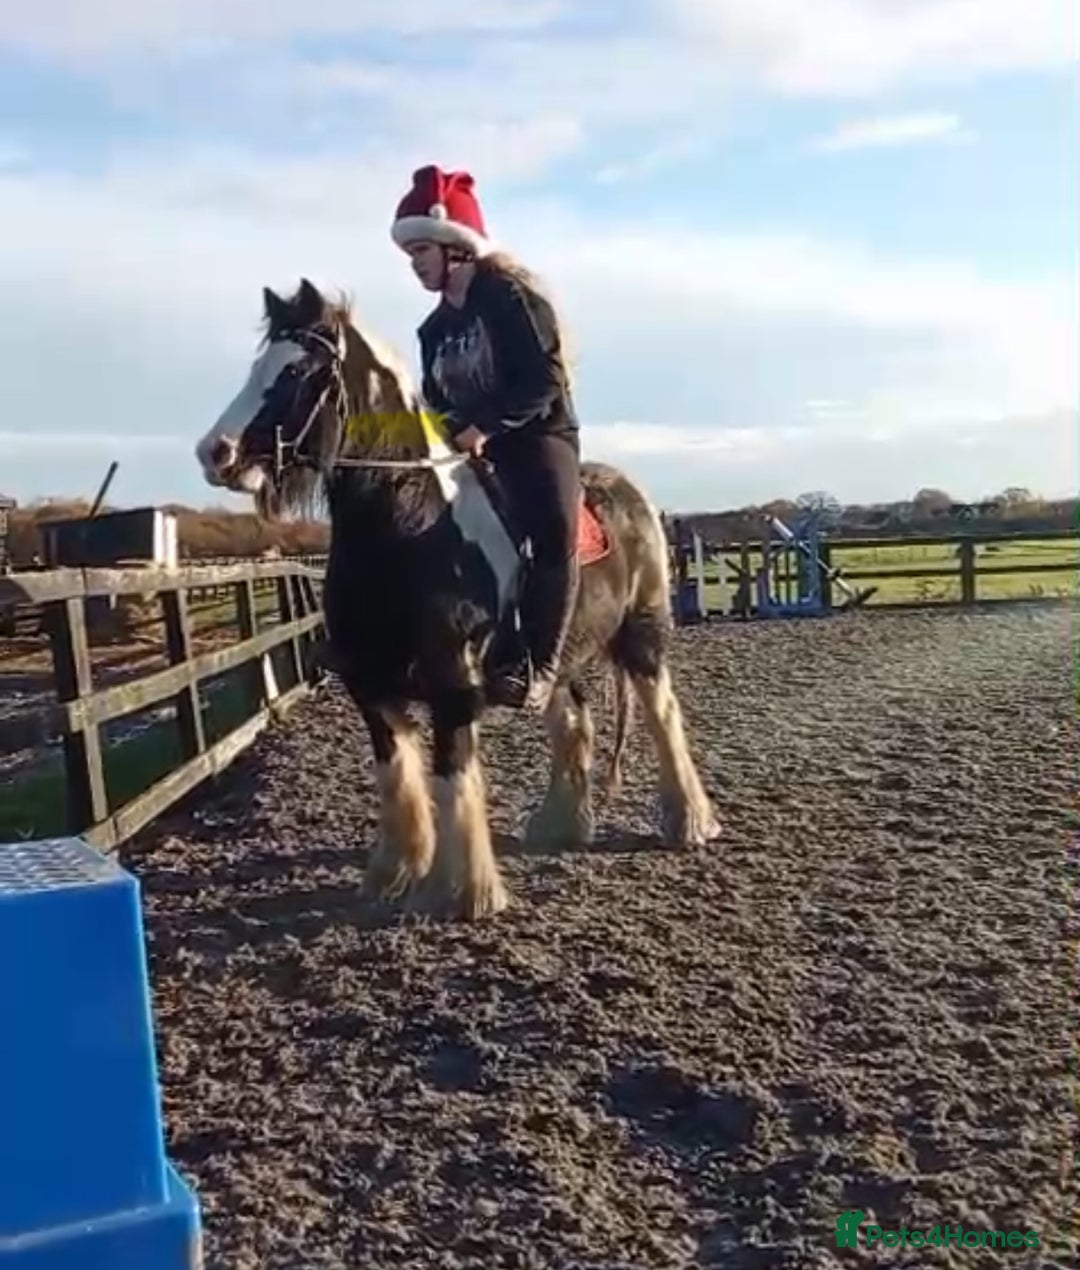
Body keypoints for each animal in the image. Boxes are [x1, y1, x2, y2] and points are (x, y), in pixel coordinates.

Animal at [194, 277, 720, 920]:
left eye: (298, 371)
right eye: (257, 366)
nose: (214, 453)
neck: (413, 525)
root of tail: (632, 494)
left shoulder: (452, 688)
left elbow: (453, 780)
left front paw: (466, 892)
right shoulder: (371, 689)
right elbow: (398, 777)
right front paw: (394, 874)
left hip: (643, 635)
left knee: (664, 715)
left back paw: (689, 822)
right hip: (561, 656)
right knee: (574, 724)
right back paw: (560, 825)